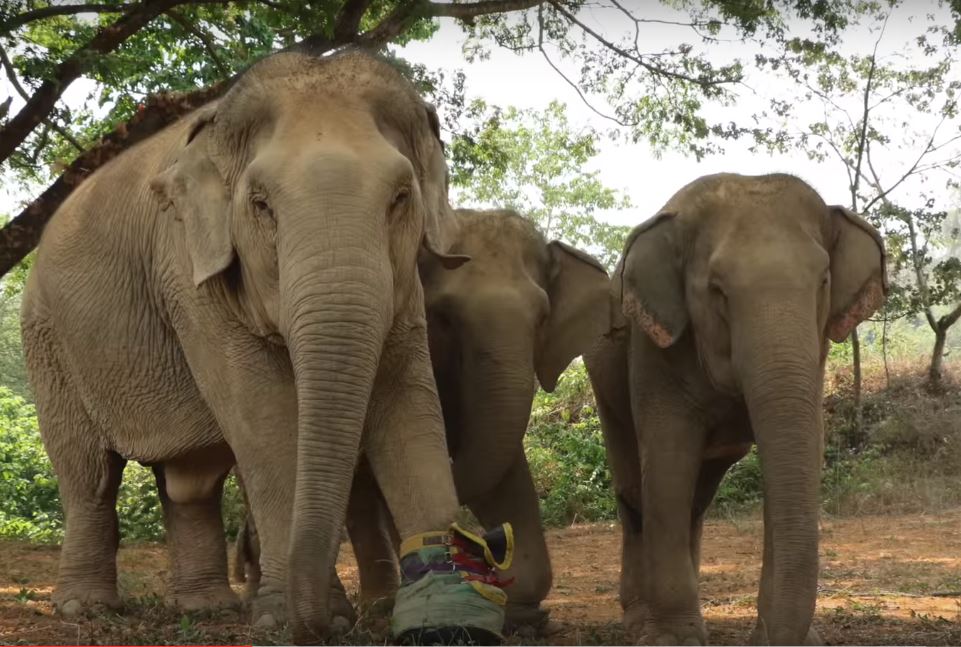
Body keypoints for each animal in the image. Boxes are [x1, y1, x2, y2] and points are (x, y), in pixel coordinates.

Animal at [20, 46, 478, 643]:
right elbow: (264, 417)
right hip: (48, 341)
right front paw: (289, 617)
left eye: (401, 198)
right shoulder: (189, 275)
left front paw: (451, 618)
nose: (324, 627)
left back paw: (206, 610)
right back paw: (84, 609)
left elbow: (410, 402)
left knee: (189, 482)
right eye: (261, 205)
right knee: (89, 475)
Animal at [583, 173, 887, 645]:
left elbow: (800, 455)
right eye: (718, 291)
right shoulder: (653, 349)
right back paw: (637, 621)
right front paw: (672, 641)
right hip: (604, 382)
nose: (772, 638)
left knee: (697, 499)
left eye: (823, 281)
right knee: (636, 492)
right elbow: (668, 463)